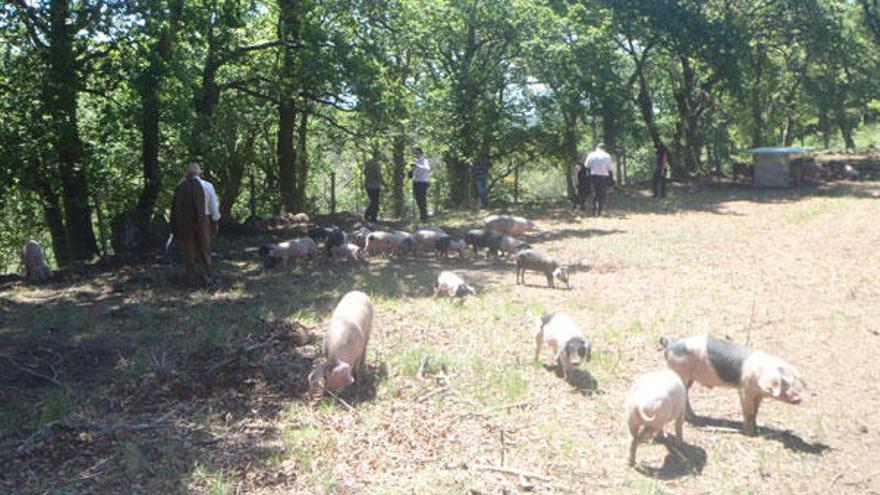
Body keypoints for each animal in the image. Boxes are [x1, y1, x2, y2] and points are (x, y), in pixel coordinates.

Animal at [660, 336, 804, 436]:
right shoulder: (744, 389)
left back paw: (696, 417)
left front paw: (757, 429)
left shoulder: (757, 394)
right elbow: (748, 412)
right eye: (781, 384)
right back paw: (695, 419)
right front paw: (751, 434)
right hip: (680, 372)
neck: (760, 374)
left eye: (792, 382)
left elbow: (755, 412)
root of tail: (669, 344)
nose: (798, 398)